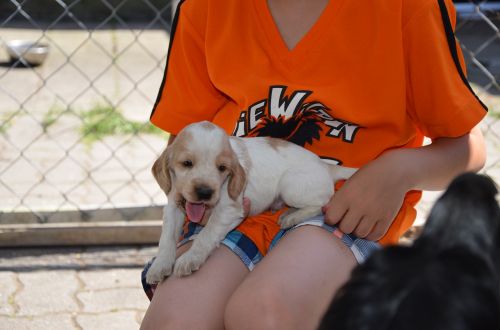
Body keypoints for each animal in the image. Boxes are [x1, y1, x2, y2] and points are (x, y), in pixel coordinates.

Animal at [145, 121, 356, 284]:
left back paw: (292, 217)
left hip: (290, 184)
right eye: (187, 163)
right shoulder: (174, 204)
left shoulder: (229, 209)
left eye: (222, 168)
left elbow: (206, 234)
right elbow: (167, 237)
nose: (205, 192)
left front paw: (189, 258)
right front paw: (159, 266)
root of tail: (326, 167)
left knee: (323, 201)